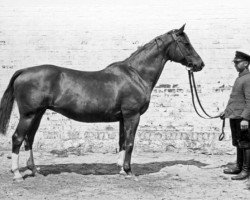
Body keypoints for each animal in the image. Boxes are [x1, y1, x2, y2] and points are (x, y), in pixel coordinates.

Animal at [0, 24, 203, 180]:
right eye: (186, 43)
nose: (200, 64)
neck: (136, 74)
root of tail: (24, 71)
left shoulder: (123, 118)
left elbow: (122, 142)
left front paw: (121, 170)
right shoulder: (132, 115)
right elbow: (130, 142)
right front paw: (129, 171)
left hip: (38, 114)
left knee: (29, 139)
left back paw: (35, 171)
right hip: (28, 115)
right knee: (17, 138)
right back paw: (17, 174)